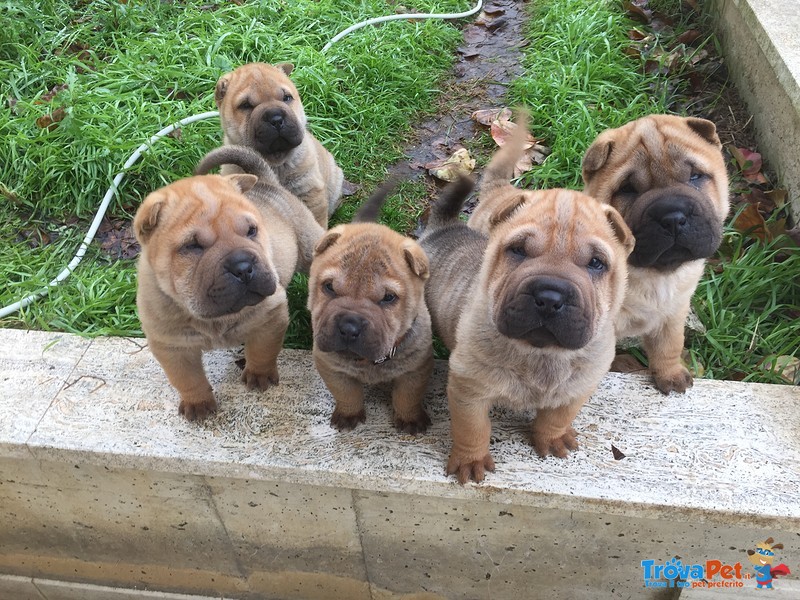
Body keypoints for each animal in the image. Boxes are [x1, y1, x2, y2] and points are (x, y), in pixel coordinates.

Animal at [137, 152, 322, 420]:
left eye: (252, 231)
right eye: (192, 246)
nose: (243, 267)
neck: (215, 319)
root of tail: (267, 182)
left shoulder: (270, 317)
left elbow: (263, 351)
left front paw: (259, 377)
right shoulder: (171, 345)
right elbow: (187, 378)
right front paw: (198, 403)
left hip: (308, 243)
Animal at [308, 182, 432, 432]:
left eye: (388, 297)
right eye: (329, 287)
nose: (349, 327)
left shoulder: (416, 369)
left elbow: (408, 396)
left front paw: (410, 419)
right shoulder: (331, 366)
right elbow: (347, 393)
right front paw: (349, 415)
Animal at [422, 164, 636, 482]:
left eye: (596, 263)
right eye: (518, 250)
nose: (549, 297)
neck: (541, 353)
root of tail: (442, 228)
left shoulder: (580, 385)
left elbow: (558, 416)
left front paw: (552, 438)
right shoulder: (469, 389)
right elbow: (472, 429)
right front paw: (471, 461)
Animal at [580, 115, 732, 394]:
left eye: (695, 176)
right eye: (628, 189)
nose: (673, 217)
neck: (654, 276)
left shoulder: (674, 311)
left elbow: (669, 345)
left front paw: (671, 376)